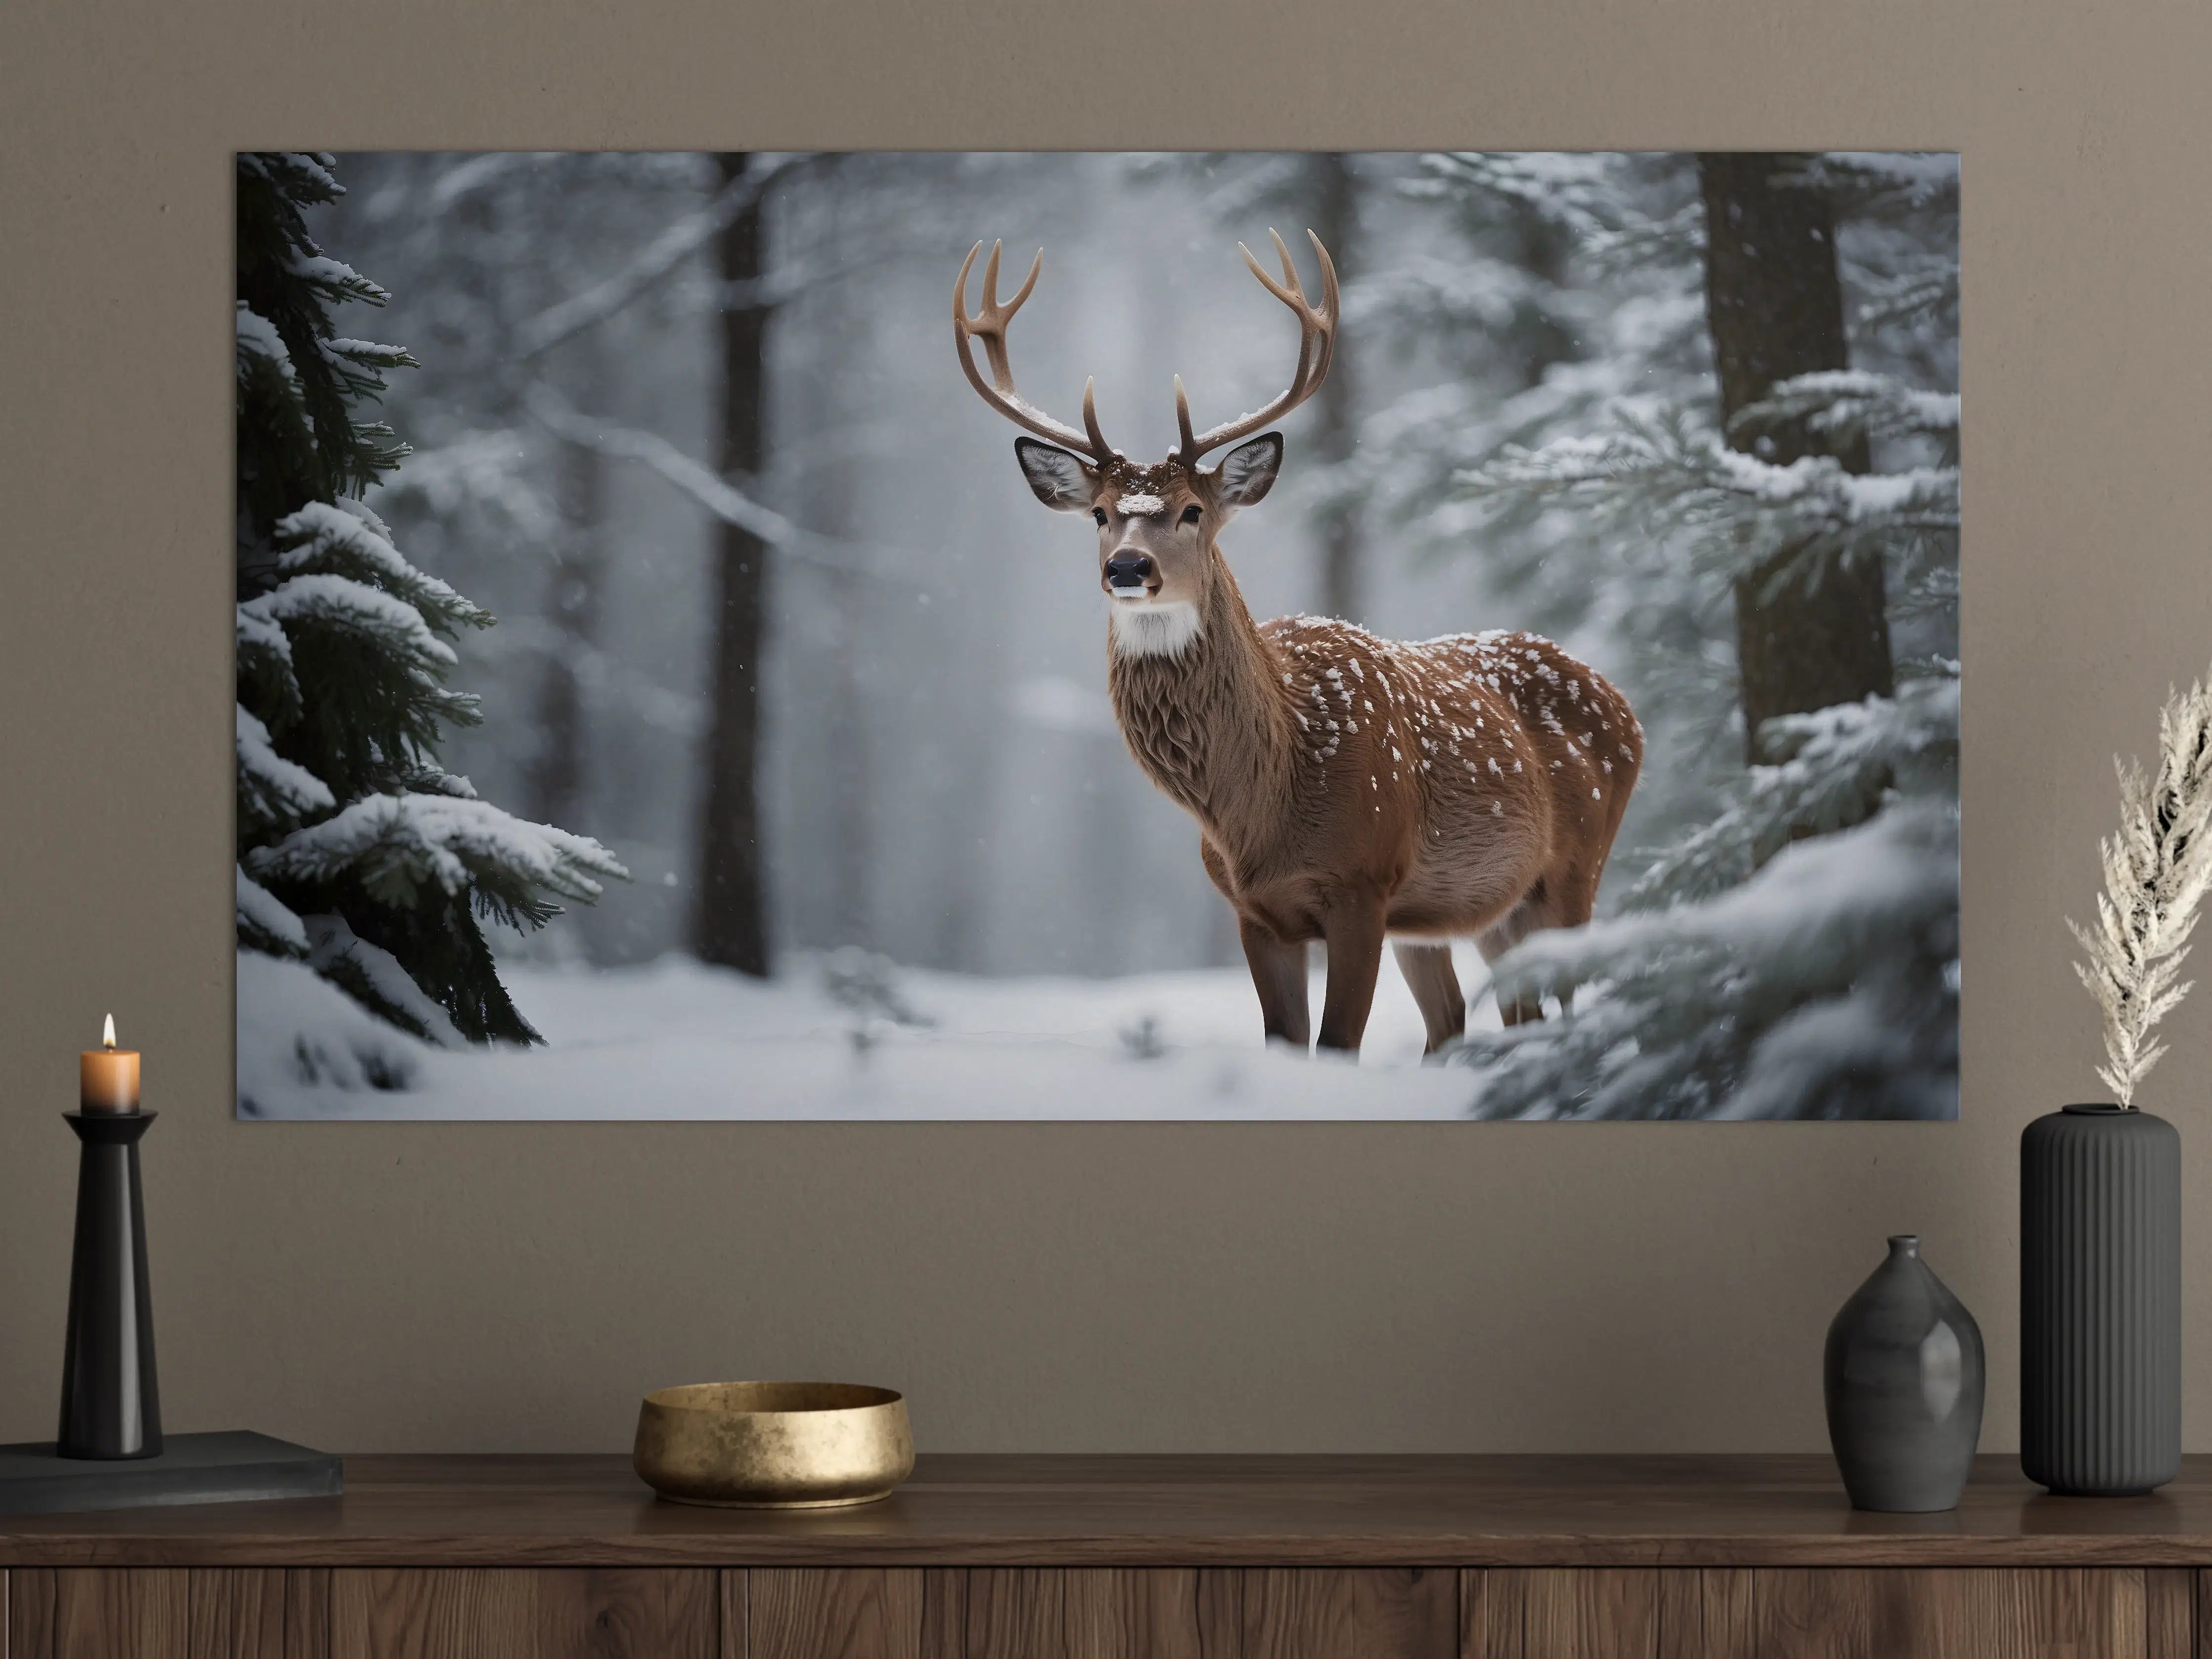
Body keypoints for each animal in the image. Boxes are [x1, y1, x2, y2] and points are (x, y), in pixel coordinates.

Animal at [954, 231, 1643, 1056]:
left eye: (1191, 511)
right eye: (1099, 513)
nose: (1128, 567)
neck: (1263, 800)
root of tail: (1626, 708)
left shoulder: (1363, 883)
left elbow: (1337, 1044)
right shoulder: (1255, 911)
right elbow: (1285, 1040)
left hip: (1576, 868)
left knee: (1569, 1003)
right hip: (1466, 911)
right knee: (1474, 1017)